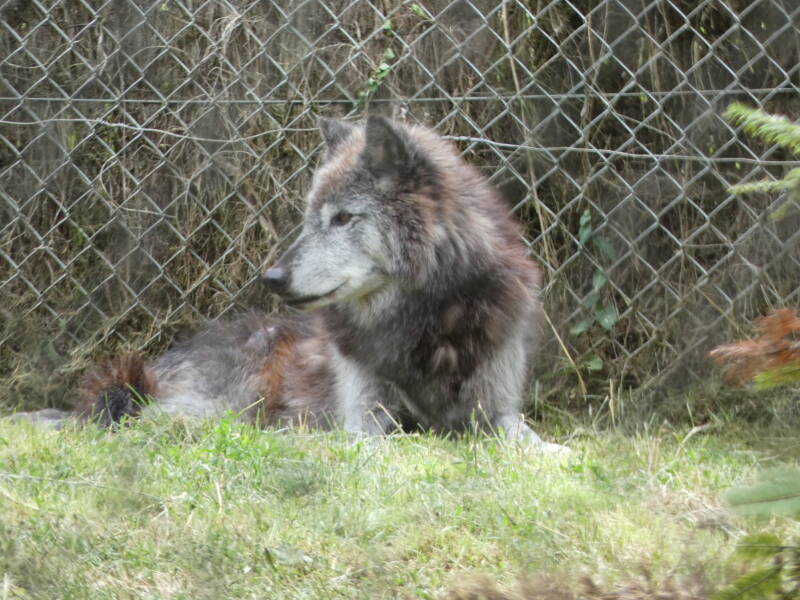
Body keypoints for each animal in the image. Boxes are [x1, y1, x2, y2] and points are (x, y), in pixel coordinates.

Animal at [16, 117, 565, 453]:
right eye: (308, 219)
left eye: (343, 218)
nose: (273, 277)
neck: (424, 322)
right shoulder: (364, 417)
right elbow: (379, 441)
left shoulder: (497, 413)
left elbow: (532, 442)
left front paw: (558, 454)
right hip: (225, 401)